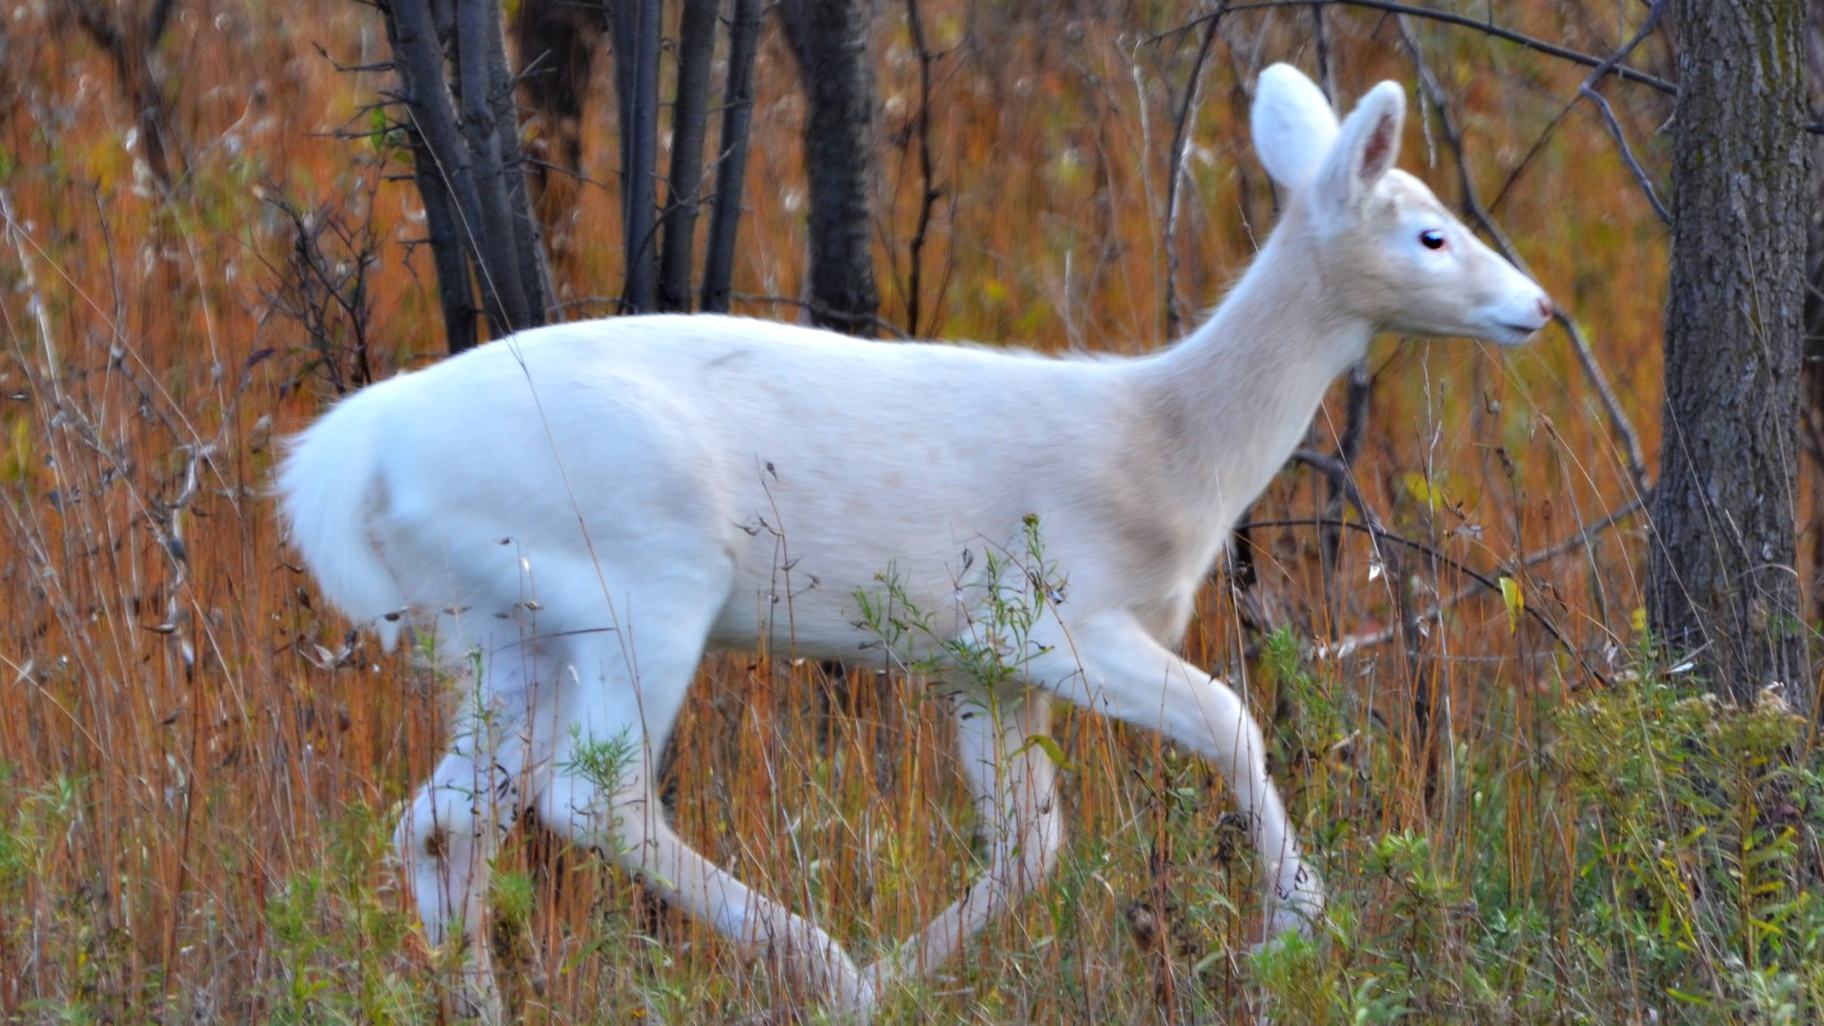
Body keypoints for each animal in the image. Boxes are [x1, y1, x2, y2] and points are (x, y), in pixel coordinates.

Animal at [273, 63, 1554, 1015]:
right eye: (1432, 236)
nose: (1537, 307)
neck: (1169, 450)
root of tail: (349, 458)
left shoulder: (978, 665)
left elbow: (1031, 849)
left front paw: (902, 980)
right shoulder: (1053, 617)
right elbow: (1232, 721)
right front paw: (1296, 927)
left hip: (497, 625)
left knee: (441, 823)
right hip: (640, 582)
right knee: (591, 799)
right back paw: (820, 961)